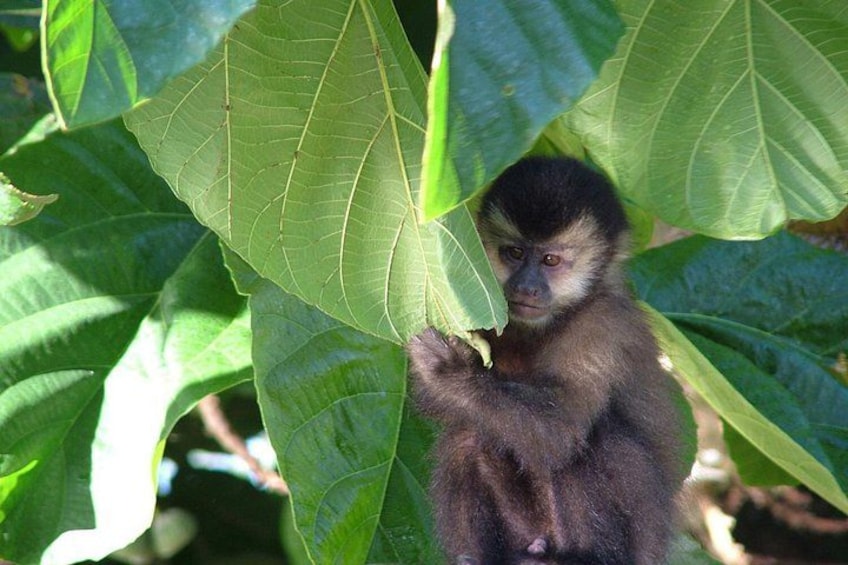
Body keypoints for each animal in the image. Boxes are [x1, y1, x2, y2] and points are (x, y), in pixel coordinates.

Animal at [407, 157, 686, 564]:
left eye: (551, 260)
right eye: (514, 253)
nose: (526, 286)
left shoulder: (602, 327)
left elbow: (560, 430)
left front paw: (450, 372)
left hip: (641, 545)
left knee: (593, 441)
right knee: (468, 436)